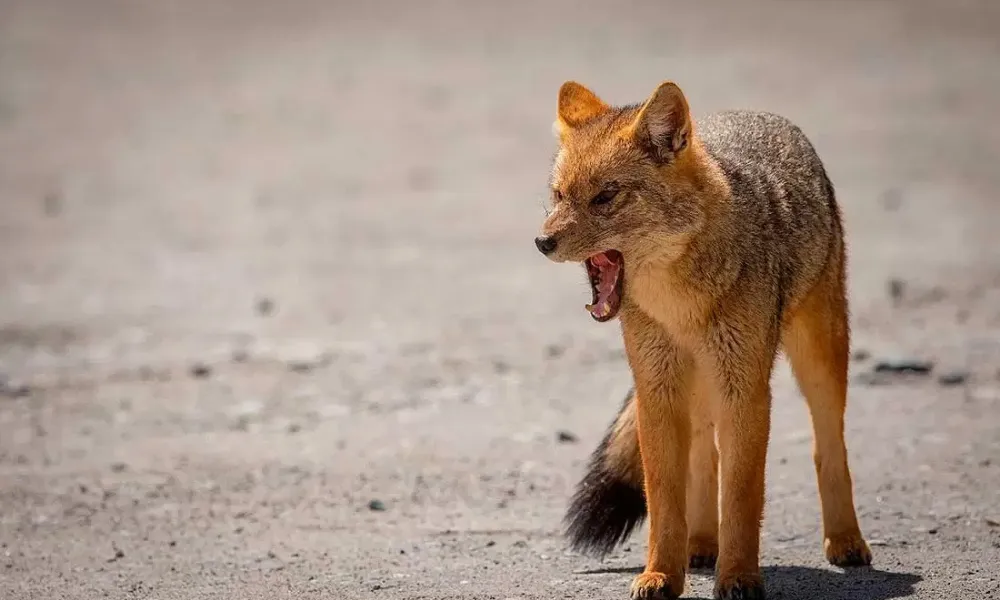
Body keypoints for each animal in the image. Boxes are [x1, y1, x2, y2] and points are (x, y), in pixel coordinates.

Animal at [534, 80, 872, 600]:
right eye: (557, 195)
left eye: (605, 196)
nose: (541, 242)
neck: (681, 308)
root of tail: (755, 113)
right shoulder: (656, 391)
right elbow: (664, 501)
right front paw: (659, 574)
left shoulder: (747, 391)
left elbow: (741, 496)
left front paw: (738, 577)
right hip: (695, 389)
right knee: (703, 455)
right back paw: (700, 545)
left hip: (818, 362)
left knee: (828, 447)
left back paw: (845, 540)